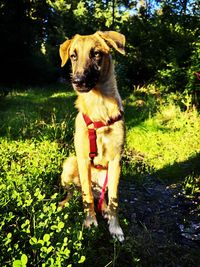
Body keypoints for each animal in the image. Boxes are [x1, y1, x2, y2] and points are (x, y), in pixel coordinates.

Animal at [59, 31, 125, 243]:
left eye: (96, 54)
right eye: (73, 56)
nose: (77, 81)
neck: (99, 108)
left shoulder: (116, 161)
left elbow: (114, 200)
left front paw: (115, 228)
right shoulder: (82, 159)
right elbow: (86, 196)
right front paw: (90, 222)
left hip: (109, 174)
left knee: (103, 196)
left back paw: (103, 209)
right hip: (70, 164)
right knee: (77, 193)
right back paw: (64, 204)